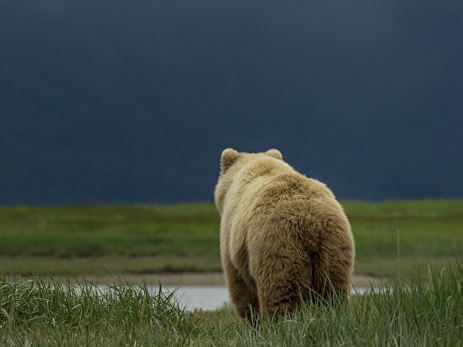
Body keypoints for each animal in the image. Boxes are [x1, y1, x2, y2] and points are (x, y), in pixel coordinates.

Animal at [214, 148, 356, 322]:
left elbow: (241, 289)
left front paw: (252, 320)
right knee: (332, 293)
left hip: (278, 247)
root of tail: (310, 222)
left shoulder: (232, 242)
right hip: (335, 250)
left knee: (281, 295)